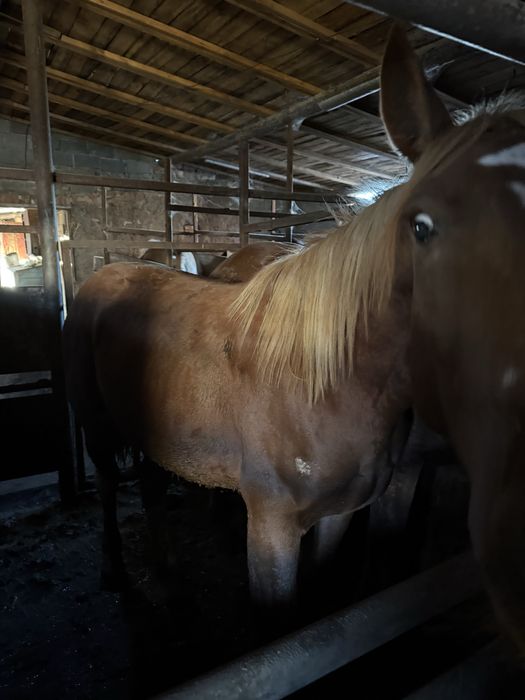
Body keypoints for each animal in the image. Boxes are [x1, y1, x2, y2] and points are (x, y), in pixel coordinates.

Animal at [62, 188, 413, 608]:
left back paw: (166, 571)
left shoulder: (339, 513)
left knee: (151, 487)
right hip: (96, 426)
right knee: (107, 485)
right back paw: (113, 570)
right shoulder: (271, 524)